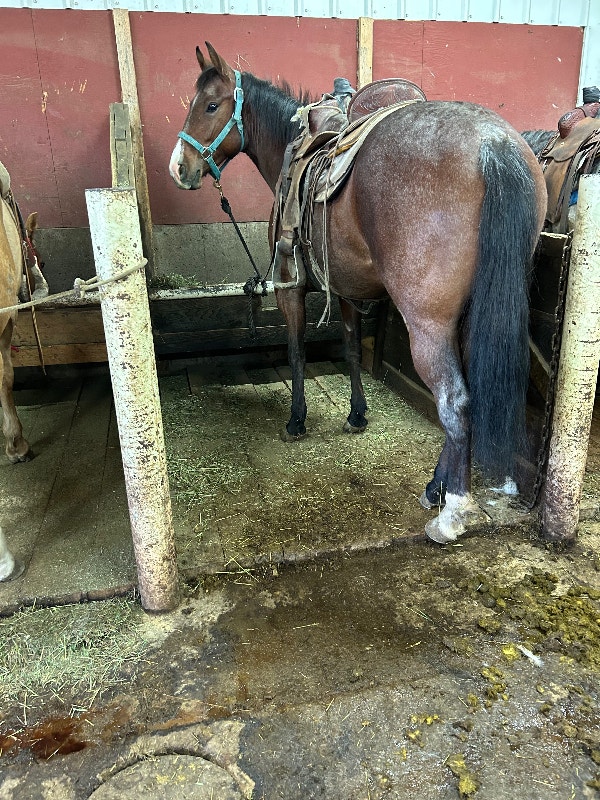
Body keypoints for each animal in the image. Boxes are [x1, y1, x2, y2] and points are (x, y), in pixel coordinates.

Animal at [169, 42, 547, 545]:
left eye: (211, 106)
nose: (179, 168)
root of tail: (494, 145)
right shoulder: (345, 289)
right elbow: (349, 349)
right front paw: (357, 414)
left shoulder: (291, 287)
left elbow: (296, 351)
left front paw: (296, 419)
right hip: (470, 317)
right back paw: (436, 487)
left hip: (428, 324)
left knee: (454, 401)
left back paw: (451, 512)